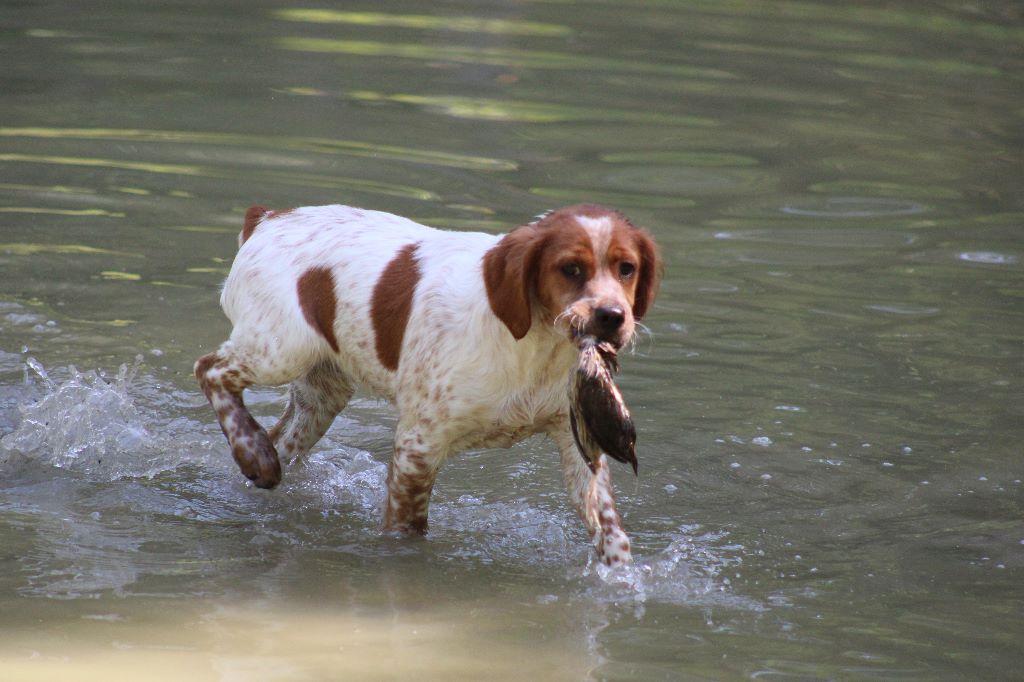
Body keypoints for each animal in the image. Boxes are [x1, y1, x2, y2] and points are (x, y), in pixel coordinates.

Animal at [195, 201, 659, 561]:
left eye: (627, 268)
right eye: (570, 268)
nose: (613, 317)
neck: (536, 346)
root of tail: (269, 217)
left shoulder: (577, 439)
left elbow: (612, 532)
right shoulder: (417, 447)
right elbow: (408, 531)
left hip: (323, 393)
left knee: (283, 438)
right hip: (279, 350)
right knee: (210, 369)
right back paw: (254, 452)